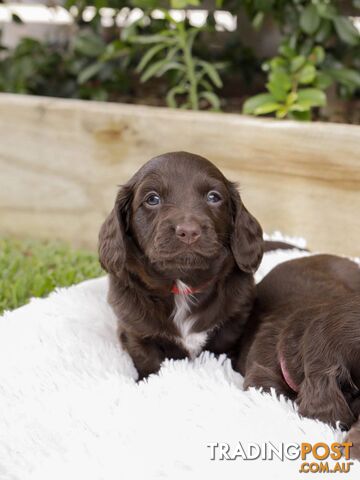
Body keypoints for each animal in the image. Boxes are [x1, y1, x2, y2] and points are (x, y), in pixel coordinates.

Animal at [97, 152, 262, 380]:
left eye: (213, 197)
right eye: (152, 199)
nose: (189, 231)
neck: (182, 284)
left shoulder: (233, 321)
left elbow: (220, 351)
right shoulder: (134, 330)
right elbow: (147, 359)